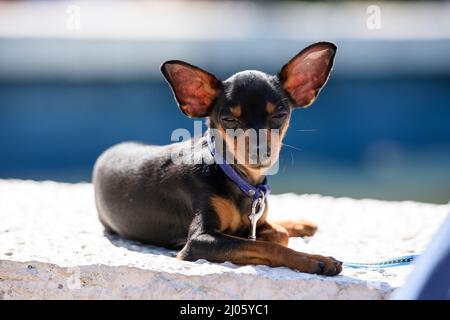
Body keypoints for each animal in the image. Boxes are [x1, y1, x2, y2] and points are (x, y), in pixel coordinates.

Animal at [94, 42, 342, 276]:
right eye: (229, 119)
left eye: (280, 115)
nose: (259, 151)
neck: (238, 179)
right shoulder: (198, 242)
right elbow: (266, 245)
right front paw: (315, 259)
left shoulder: (254, 222)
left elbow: (277, 234)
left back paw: (299, 224)